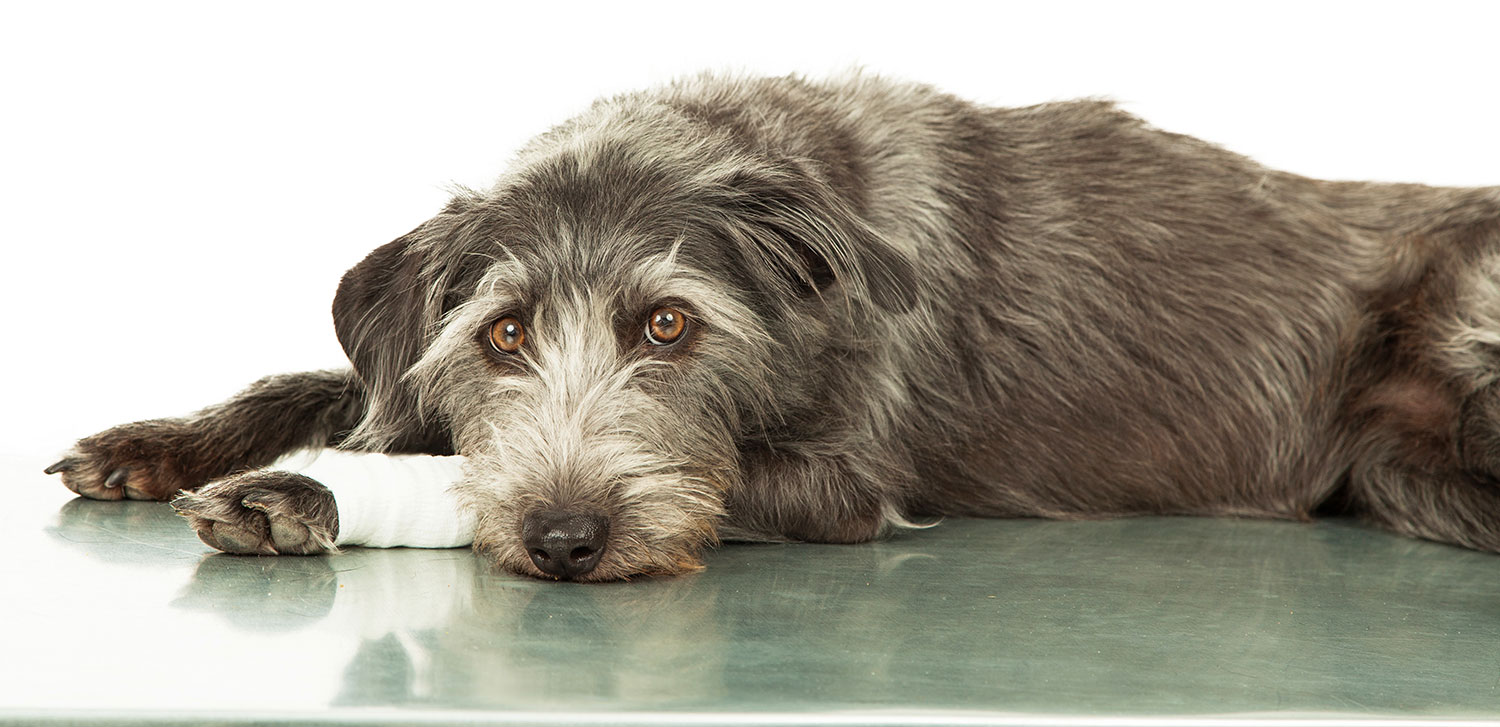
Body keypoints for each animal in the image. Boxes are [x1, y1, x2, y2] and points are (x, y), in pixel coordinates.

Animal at [41, 73, 1500, 581]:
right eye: (504, 338)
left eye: (669, 324)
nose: (566, 542)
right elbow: (329, 377)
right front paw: (164, 440)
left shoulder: (846, 475)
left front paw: (299, 495)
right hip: (1398, 470)